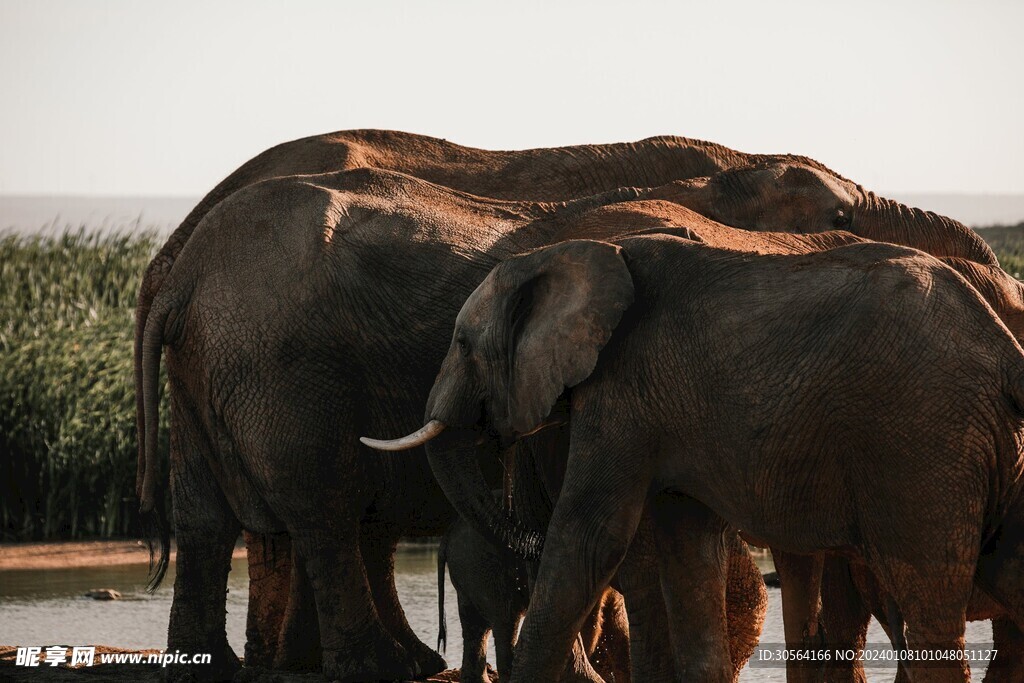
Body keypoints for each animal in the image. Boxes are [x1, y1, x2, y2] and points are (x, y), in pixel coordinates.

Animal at [366, 235, 1024, 682]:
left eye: (460, 343)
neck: (577, 255)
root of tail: (1003, 348)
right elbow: (687, 547)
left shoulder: (623, 393)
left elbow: (588, 537)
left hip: (924, 442)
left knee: (927, 603)